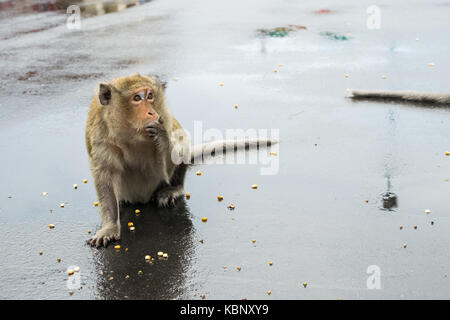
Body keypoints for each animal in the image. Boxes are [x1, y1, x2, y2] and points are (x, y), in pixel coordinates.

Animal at [85, 74, 274, 246]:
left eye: (150, 96)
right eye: (137, 98)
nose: (152, 112)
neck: (130, 135)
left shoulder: (165, 117)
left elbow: (170, 161)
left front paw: (161, 136)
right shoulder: (99, 135)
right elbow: (106, 175)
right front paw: (109, 228)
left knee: (181, 144)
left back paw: (173, 189)